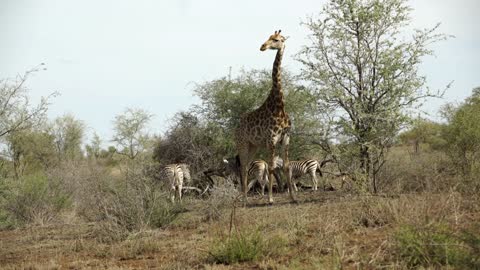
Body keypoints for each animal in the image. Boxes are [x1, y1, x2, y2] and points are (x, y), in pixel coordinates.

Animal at [233, 29, 294, 202]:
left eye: (277, 39)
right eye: (268, 37)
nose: (262, 46)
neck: (279, 106)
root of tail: (236, 126)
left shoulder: (285, 139)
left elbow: (286, 166)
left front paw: (293, 198)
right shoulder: (271, 140)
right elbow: (272, 167)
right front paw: (271, 199)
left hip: (253, 145)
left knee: (247, 166)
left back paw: (246, 197)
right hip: (242, 143)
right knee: (243, 166)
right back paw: (244, 199)